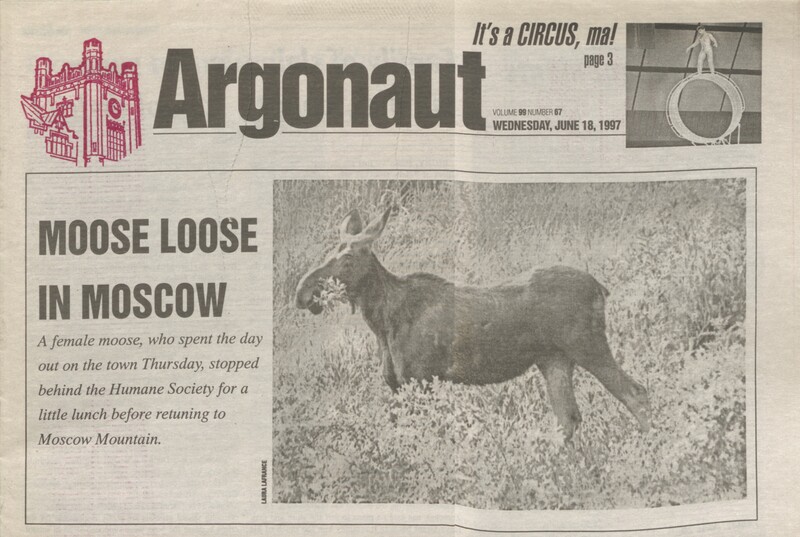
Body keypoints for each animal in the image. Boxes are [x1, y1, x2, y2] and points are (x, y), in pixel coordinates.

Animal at [295, 207, 651, 439]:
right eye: (329, 252)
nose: (302, 292)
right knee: (569, 418)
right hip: (554, 359)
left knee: (636, 393)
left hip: (588, 345)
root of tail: (601, 288)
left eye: (348, 258)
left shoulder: (421, 380)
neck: (382, 322)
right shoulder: (397, 385)